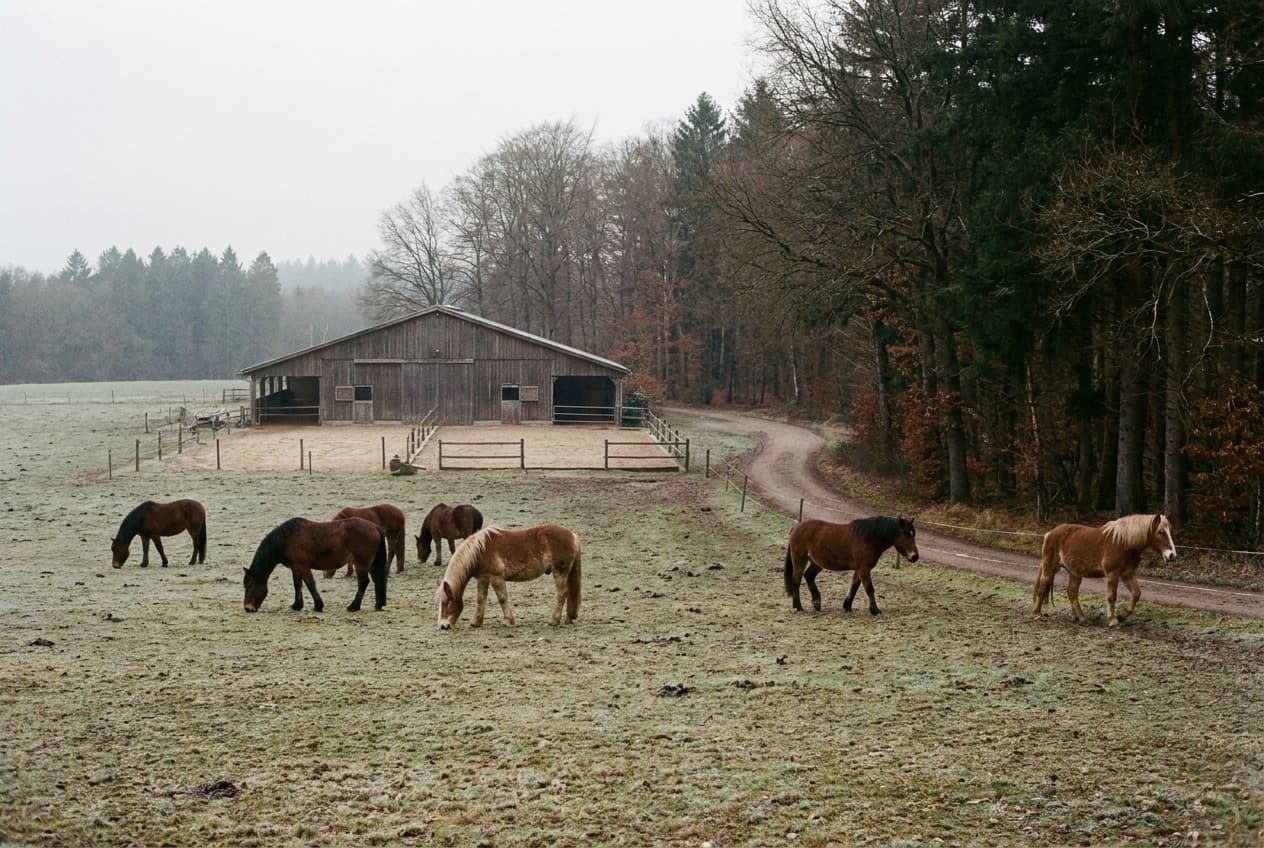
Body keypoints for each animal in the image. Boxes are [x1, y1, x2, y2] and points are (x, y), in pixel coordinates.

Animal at [243, 517, 387, 613]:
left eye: (249, 585)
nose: (248, 608)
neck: (287, 539)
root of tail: (375, 527)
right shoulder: (295, 568)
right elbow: (297, 585)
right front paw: (297, 605)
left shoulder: (303, 567)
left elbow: (310, 585)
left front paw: (318, 606)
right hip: (371, 564)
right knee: (377, 580)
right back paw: (378, 605)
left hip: (361, 563)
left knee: (363, 582)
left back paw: (354, 606)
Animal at [434, 524, 581, 629]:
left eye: (446, 603)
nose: (443, 626)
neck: (480, 551)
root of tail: (573, 535)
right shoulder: (483, 579)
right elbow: (481, 599)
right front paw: (476, 622)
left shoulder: (496, 578)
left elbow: (502, 599)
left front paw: (508, 621)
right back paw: (568, 618)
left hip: (559, 572)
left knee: (562, 594)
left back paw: (553, 620)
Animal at [783, 516, 920, 615]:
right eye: (906, 533)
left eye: (913, 533)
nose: (915, 556)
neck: (869, 538)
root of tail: (797, 527)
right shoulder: (864, 569)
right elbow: (869, 589)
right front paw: (874, 610)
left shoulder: (860, 569)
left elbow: (854, 586)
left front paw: (847, 606)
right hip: (800, 560)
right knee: (796, 580)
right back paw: (798, 606)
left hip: (816, 563)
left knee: (809, 576)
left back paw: (816, 602)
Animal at [1032, 513, 1177, 626]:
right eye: (1160, 532)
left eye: (1170, 530)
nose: (1172, 555)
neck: (1123, 543)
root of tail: (1050, 533)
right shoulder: (1113, 574)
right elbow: (1112, 596)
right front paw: (1112, 620)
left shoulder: (1128, 574)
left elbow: (1136, 594)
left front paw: (1122, 615)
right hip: (1050, 567)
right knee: (1043, 585)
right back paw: (1036, 613)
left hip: (1075, 573)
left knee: (1072, 593)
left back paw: (1082, 618)